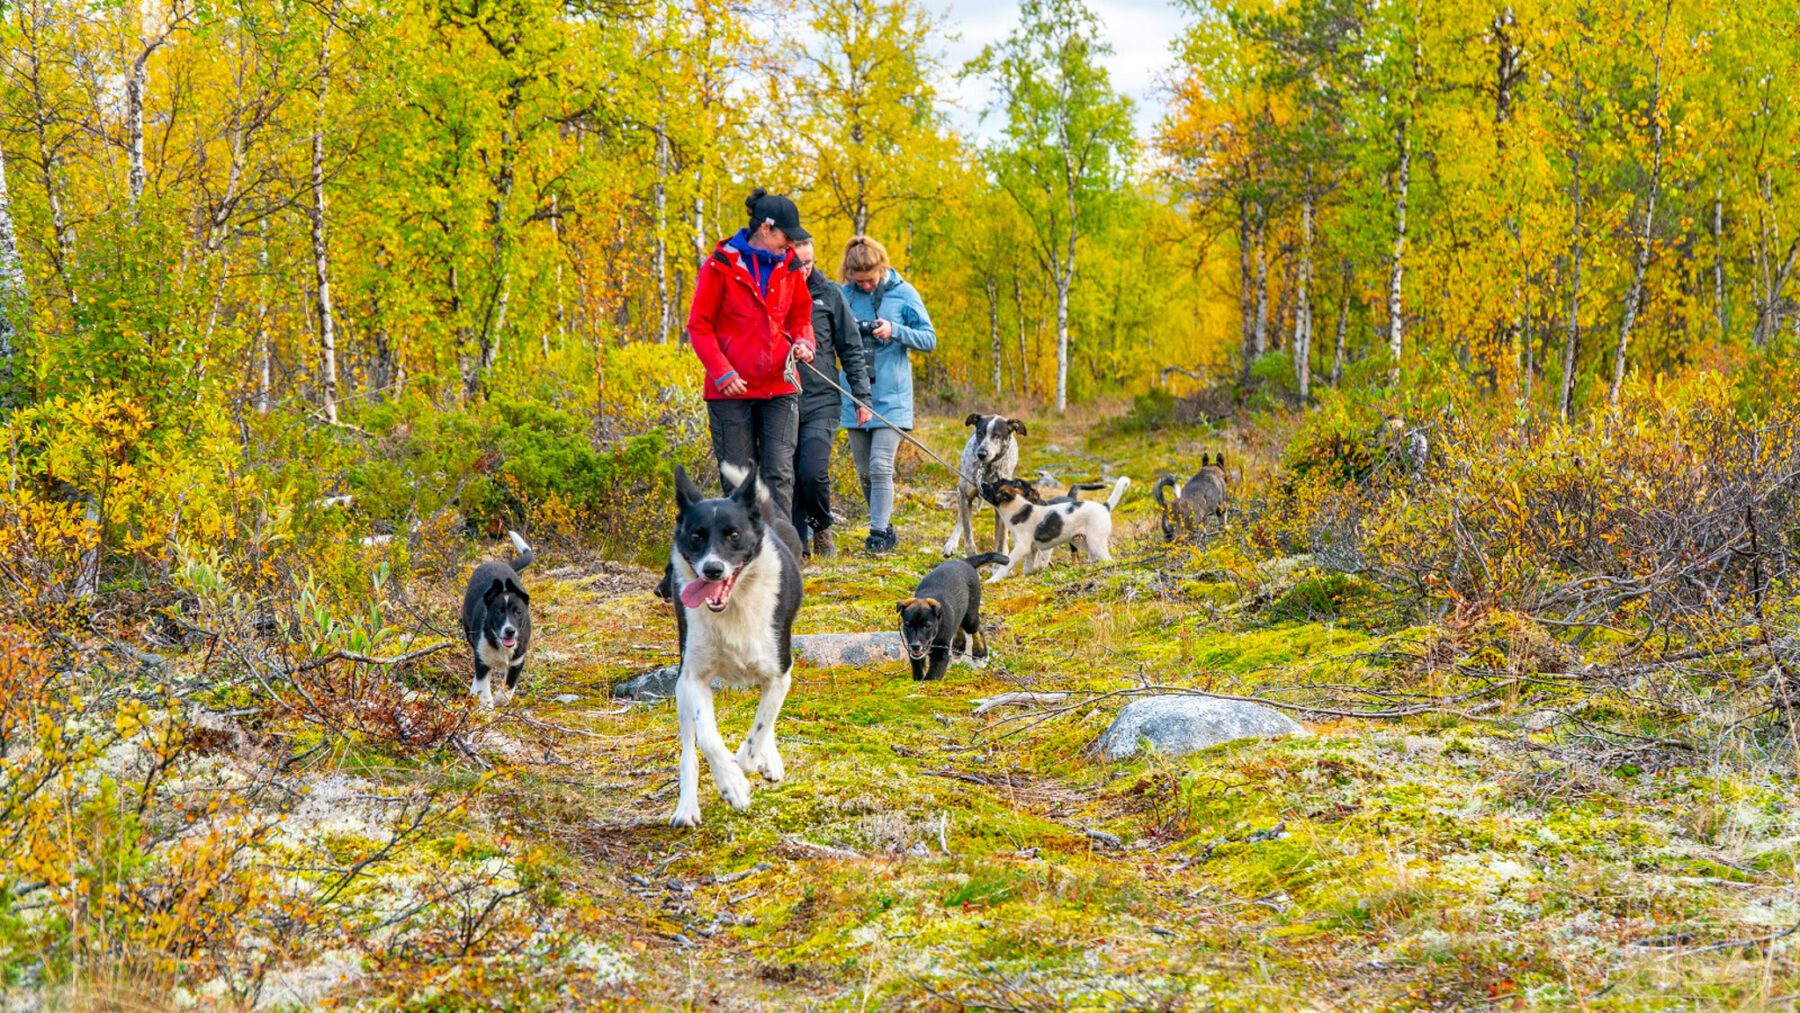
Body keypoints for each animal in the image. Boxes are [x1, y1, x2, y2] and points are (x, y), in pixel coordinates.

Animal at [457, 532, 532, 705]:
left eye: (518, 612)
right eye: (498, 612)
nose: (510, 631)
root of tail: (497, 563)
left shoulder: (518, 661)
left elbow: (508, 687)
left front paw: (499, 701)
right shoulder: (482, 659)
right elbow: (483, 689)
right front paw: (486, 704)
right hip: (469, 632)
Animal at [892, 550, 1008, 687]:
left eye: (927, 626)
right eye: (908, 625)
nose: (916, 646)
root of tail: (964, 561)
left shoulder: (941, 654)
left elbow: (933, 675)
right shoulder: (914, 651)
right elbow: (918, 669)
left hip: (970, 615)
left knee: (977, 628)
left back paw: (980, 654)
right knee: (959, 624)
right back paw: (959, 646)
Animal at [943, 415, 1029, 557]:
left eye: (997, 435)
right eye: (980, 434)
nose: (981, 453)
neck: (988, 468)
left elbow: (1000, 542)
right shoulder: (965, 496)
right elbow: (968, 537)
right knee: (960, 518)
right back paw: (951, 543)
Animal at [979, 475, 1130, 582]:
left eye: (993, 486)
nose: (982, 483)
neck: (1016, 507)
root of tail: (1104, 507)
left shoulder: (1022, 547)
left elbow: (1006, 565)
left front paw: (992, 580)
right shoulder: (1031, 549)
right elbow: (1028, 567)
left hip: (1095, 541)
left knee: (1108, 559)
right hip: (1080, 541)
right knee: (1093, 557)